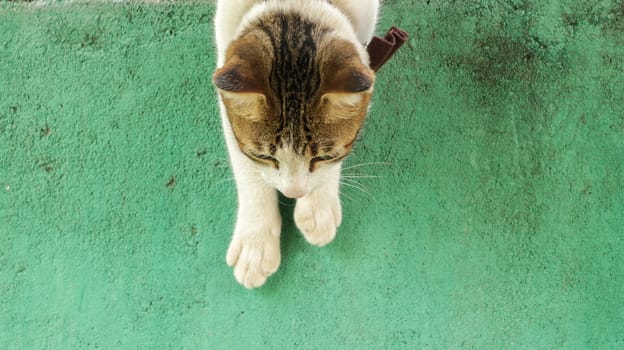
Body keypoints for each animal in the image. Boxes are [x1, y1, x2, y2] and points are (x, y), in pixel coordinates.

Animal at [212, 0, 378, 288]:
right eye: (264, 156)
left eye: (323, 157)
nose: (294, 194)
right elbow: (245, 166)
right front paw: (255, 244)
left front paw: (318, 208)